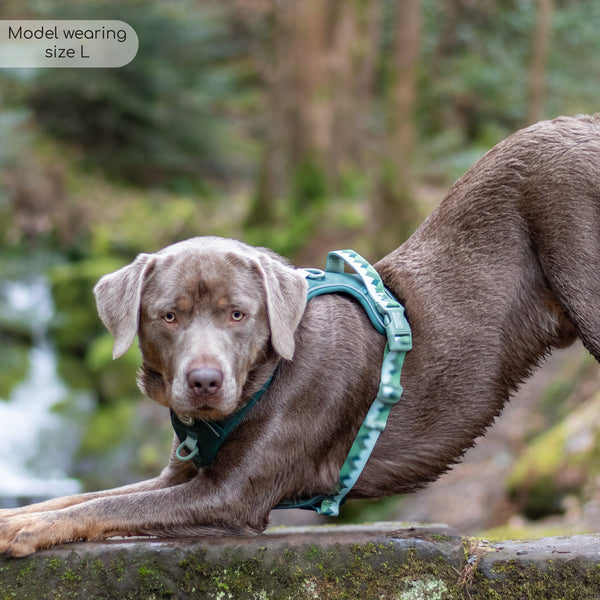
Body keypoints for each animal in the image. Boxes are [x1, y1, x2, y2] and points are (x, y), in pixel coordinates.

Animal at [1, 113, 600, 552]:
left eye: (238, 314)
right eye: (168, 316)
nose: (204, 381)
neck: (263, 376)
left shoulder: (230, 497)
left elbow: (109, 505)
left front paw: (25, 532)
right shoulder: (180, 474)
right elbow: (83, 497)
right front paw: (16, 516)